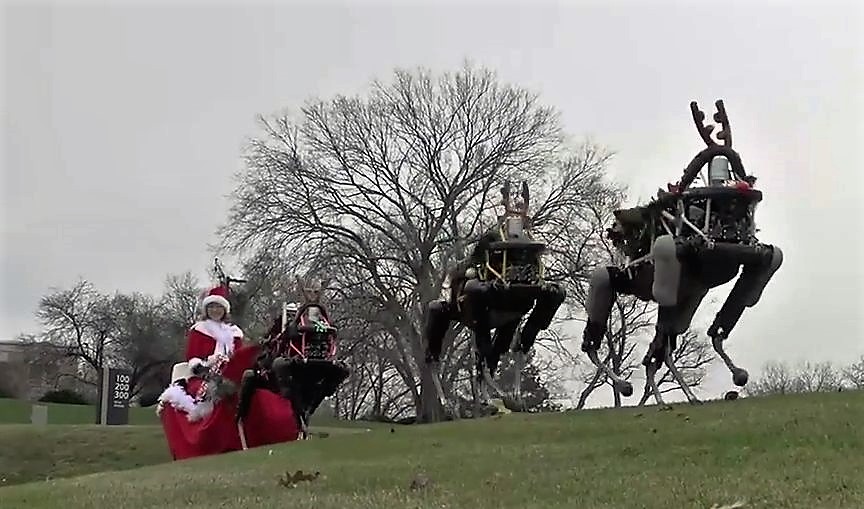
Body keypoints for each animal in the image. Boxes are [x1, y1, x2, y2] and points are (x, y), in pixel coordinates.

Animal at [424, 181, 568, 410]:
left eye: (530, 251)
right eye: (501, 250)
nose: (523, 273)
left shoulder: (514, 317)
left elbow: (514, 347)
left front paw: (513, 397)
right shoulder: (479, 310)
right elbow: (487, 356)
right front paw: (503, 396)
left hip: (500, 325)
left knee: (488, 357)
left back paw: (486, 400)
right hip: (440, 313)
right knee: (435, 357)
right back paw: (448, 404)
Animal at [580, 99, 784, 402]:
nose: (743, 188)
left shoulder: (751, 256)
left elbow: (769, 258)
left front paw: (734, 368)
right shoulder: (669, 257)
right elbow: (666, 251)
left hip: (690, 297)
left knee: (660, 349)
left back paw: (682, 395)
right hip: (633, 281)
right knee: (602, 311)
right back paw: (626, 384)